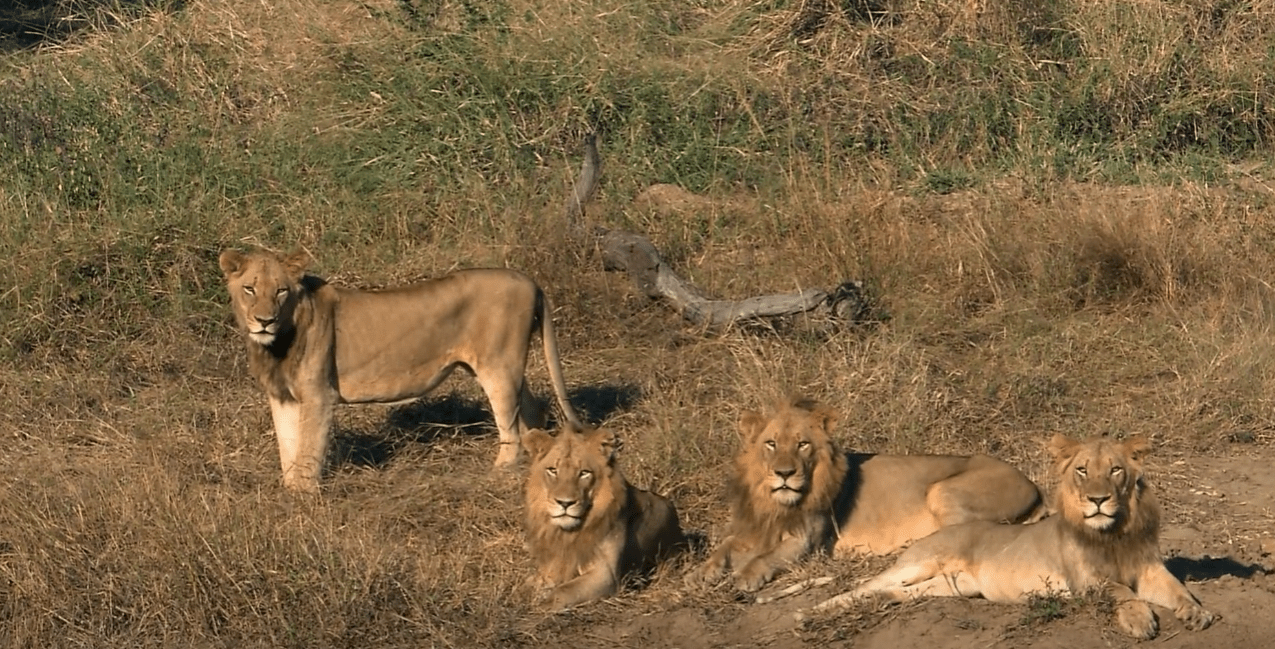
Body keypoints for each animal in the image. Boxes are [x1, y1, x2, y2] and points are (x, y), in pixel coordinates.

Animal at [218, 247, 583, 489]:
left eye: (281, 290)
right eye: (249, 288)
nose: (264, 321)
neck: (276, 345)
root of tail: (529, 280)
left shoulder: (319, 397)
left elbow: (307, 450)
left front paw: (304, 501)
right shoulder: (283, 398)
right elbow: (287, 449)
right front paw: (289, 493)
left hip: (499, 368)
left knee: (510, 431)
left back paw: (497, 475)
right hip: (507, 369)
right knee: (532, 412)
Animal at [522, 425, 688, 606]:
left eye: (584, 473)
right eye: (553, 470)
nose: (565, 503)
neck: (569, 534)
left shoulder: (606, 576)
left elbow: (561, 592)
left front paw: (538, 606)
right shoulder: (552, 566)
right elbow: (528, 583)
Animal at [693, 395, 1040, 591]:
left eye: (802, 444)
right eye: (771, 443)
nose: (785, 473)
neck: (774, 501)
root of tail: (1031, 484)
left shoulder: (808, 541)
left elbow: (768, 556)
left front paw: (746, 575)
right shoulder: (752, 527)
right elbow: (724, 545)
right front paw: (703, 572)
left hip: (942, 490)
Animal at [810, 433, 1218, 640]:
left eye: (1116, 470)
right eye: (1083, 471)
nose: (1098, 500)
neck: (1114, 532)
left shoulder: (1149, 569)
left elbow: (1179, 589)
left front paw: (1197, 613)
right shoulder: (1086, 579)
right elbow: (1121, 591)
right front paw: (1140, 621)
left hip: (951, 587)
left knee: (893, 593)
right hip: (918, 562)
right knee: (864, 586)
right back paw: (809, 614)